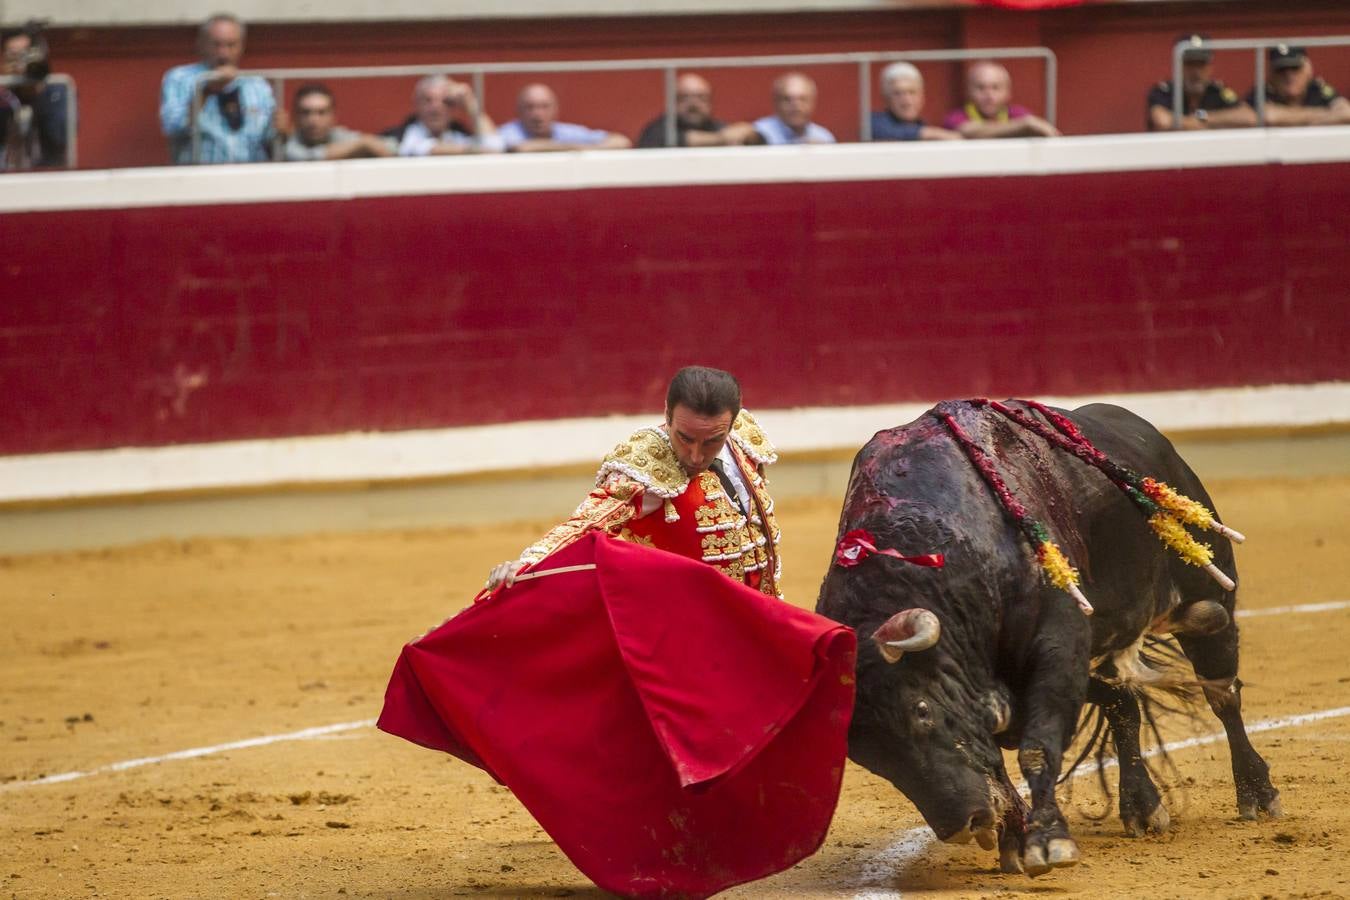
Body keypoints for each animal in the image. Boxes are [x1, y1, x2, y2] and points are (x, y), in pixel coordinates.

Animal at [815, 402, 1279, 879]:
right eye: (868, 756)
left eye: (922, 711)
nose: (963, 825)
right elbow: (995, 764)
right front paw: (1016, 838)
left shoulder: (1058, 647)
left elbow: (1037, 749)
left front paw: (1047, 842)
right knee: (1124, 708)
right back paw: (1142, 806)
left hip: (1210, 586)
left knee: (1223, 692)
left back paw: (1256, 794)